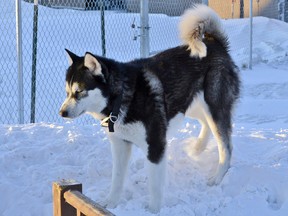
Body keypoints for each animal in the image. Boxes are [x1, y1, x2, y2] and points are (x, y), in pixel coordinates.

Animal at [59, 4, 241, 213]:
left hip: (213, 106)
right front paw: (109, 203)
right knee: (205, 123)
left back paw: (218, 176)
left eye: (79, 91)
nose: (62, 113)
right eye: (67, 92)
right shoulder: (120, 145)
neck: (122, 97)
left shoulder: (156, 145)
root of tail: (214, 43)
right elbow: (117, 179)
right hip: (187, 104)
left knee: (226, 146)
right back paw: (197, 147)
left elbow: (154, 185)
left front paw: (154, 210)